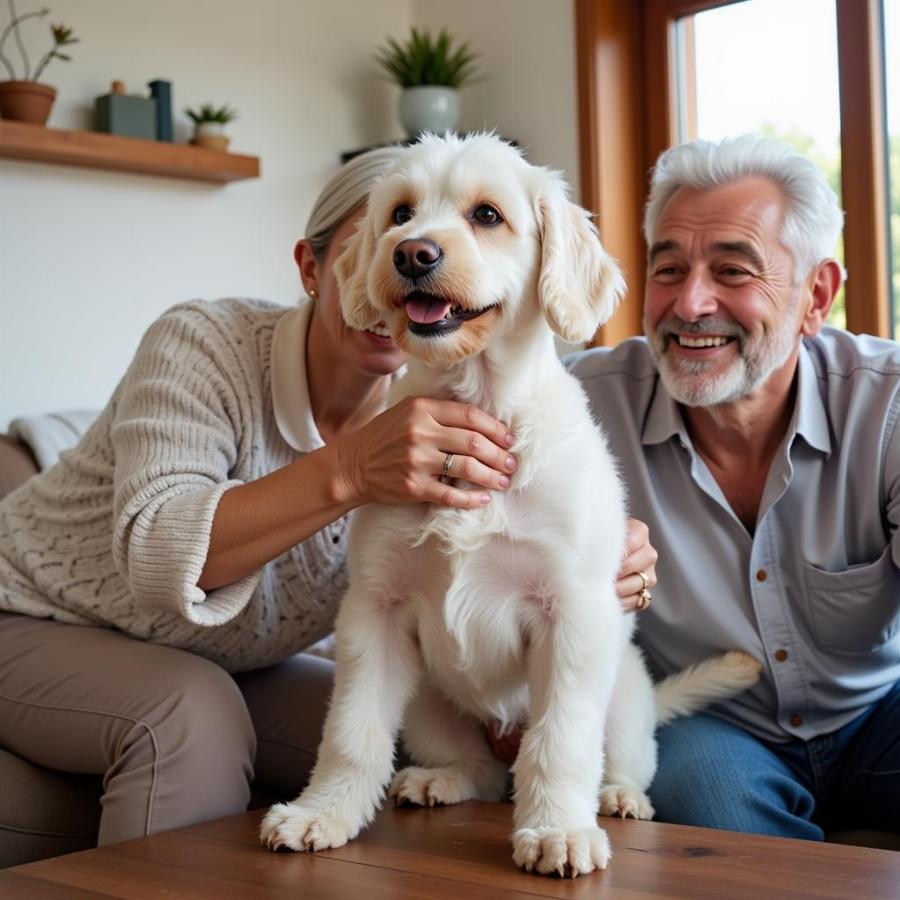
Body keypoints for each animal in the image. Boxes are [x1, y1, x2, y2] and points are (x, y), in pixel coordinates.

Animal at [260, 135, 760, 880]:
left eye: (487, 215)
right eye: (400, 214)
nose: (413, 254)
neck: (478, 401)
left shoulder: (572, 612)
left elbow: (559, 742)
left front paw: (557, 830)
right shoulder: (374, 611)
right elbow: (352, 730)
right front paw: (322, 813)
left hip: (622, 697)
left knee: (609, 760)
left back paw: (614, 797)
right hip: (427, 699)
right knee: (484, 771)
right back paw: (442, 779)